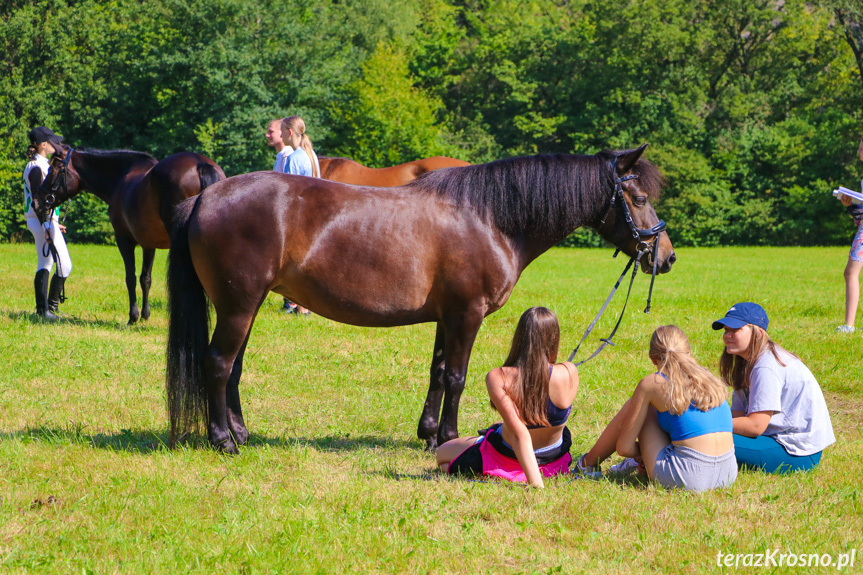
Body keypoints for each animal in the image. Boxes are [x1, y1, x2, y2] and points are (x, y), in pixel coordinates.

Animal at [32, 145, 224, 324]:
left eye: (54, 169)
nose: (36, 202)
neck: (120, 180)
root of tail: (200, 164)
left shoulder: (123, 240)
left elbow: (130, 277)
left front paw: (133, 316)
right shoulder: (149, 244)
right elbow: (145, 278)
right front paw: (145, 315)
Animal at [164, 144, 676, 454]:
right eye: (638, 197)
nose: (666, 256)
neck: (488, 218)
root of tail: (206, 196)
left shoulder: (446, 318)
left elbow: (436, 373)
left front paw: (428, 435)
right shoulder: (467, 315)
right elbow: (456, 377)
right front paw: (449, 436)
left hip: (244, 308)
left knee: (232, 368)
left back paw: (241, 433)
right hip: (237, 306)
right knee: (218, 364)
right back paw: (223, 441)